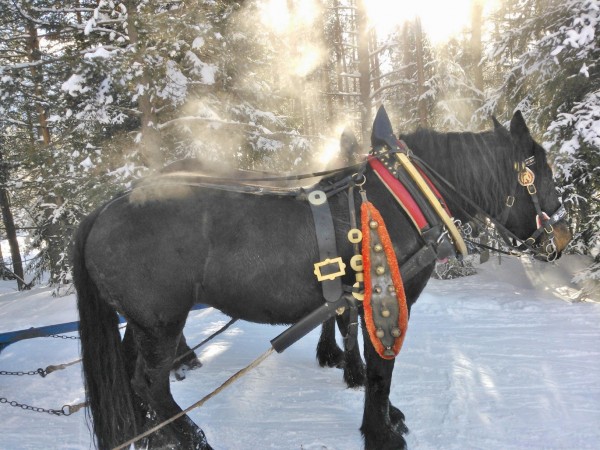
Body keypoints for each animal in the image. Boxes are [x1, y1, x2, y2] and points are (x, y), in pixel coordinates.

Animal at [71, 107, 572, 448]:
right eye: (542, 170)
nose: (564, 234)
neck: (402, 199)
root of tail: (104, 210)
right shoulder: (385, 296)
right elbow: (381, 370)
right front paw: (380, 433)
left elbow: (372, 360)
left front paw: (385, 414)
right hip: (161, 322)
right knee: (149, 384)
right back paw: (191, 438)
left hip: (143, 322)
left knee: (131, 377)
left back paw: (150, 435)